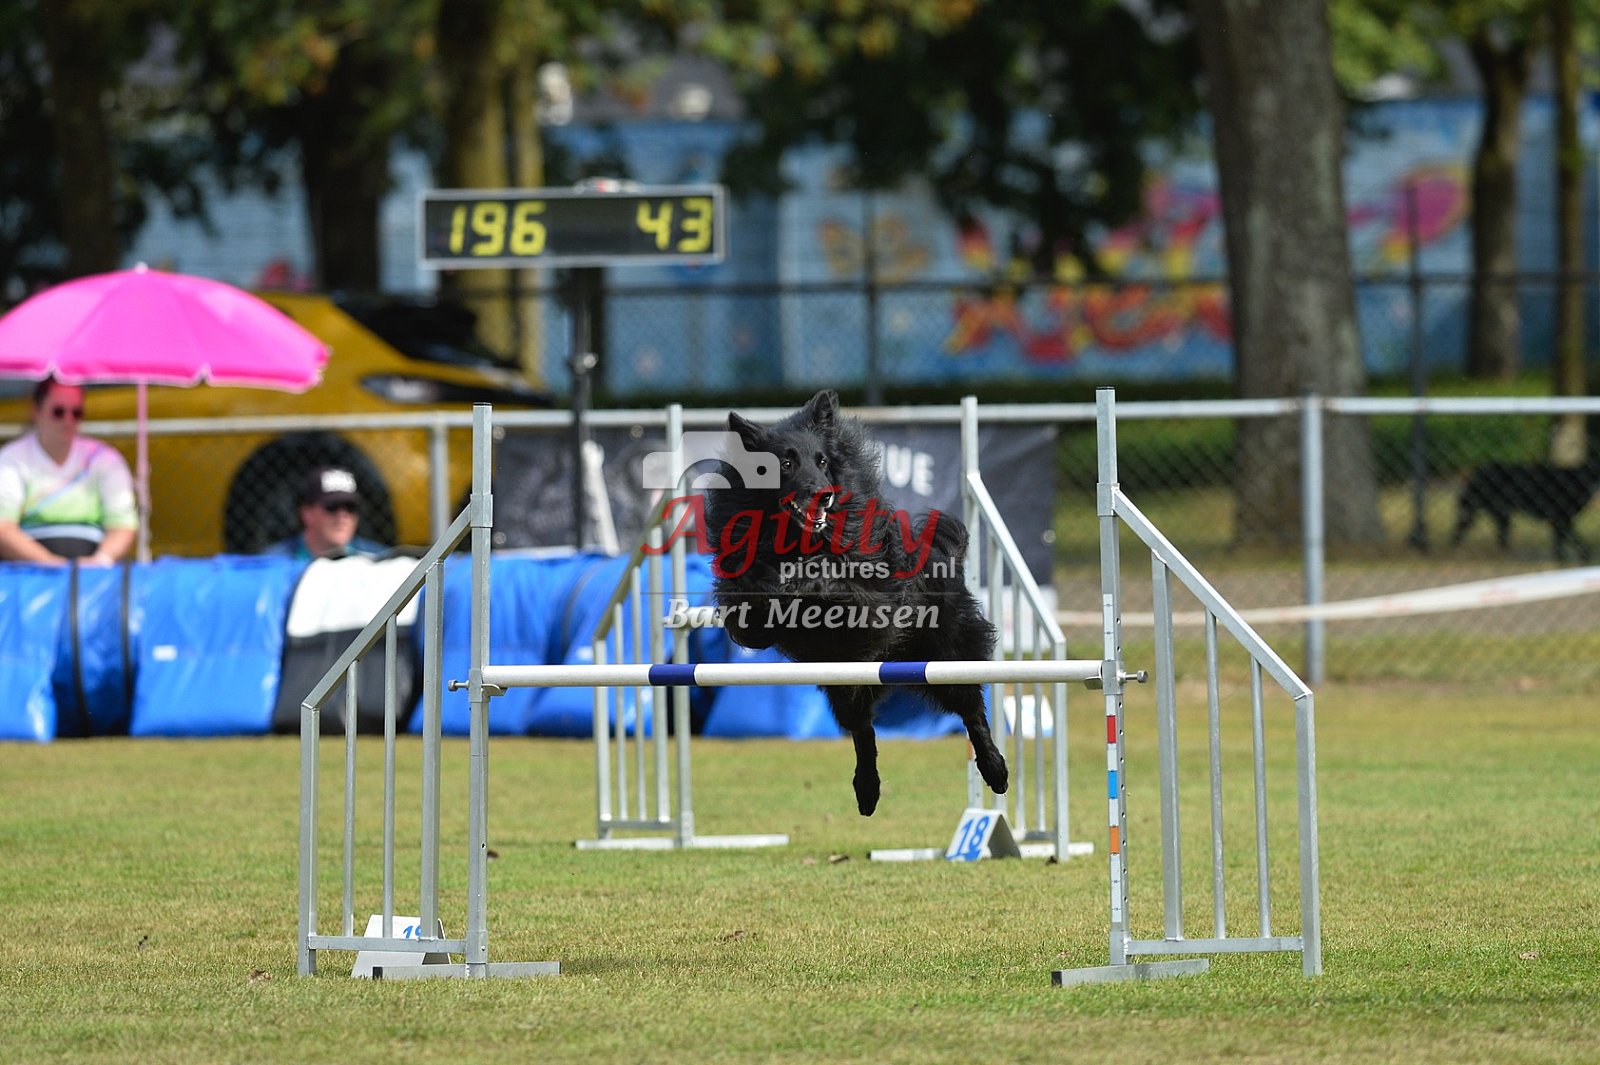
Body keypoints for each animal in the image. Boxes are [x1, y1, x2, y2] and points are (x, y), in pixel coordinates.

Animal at [701, 389, 1005, 816]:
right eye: (786, 463)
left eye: (823, 461)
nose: (824, 494)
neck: (795, 540)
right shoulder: (745, 609)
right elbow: (749, 607)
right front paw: (771, 582)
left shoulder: (871, 599)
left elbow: (830, 574)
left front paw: (801, 577)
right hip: (844, 682)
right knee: (863, 731)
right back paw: (867, 789)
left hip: (946, 660)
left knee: (972, 711)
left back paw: (995, 769)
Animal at [1450, 456, 1600, 562]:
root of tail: (1478, 472)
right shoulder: (1560, 519)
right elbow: (1574, 539)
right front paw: (1579, 556)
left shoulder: (1561, 520)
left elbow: (1561, 541)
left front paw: (1561, 558)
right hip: (1490, 512)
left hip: (1500, 514)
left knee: (1499, 535)